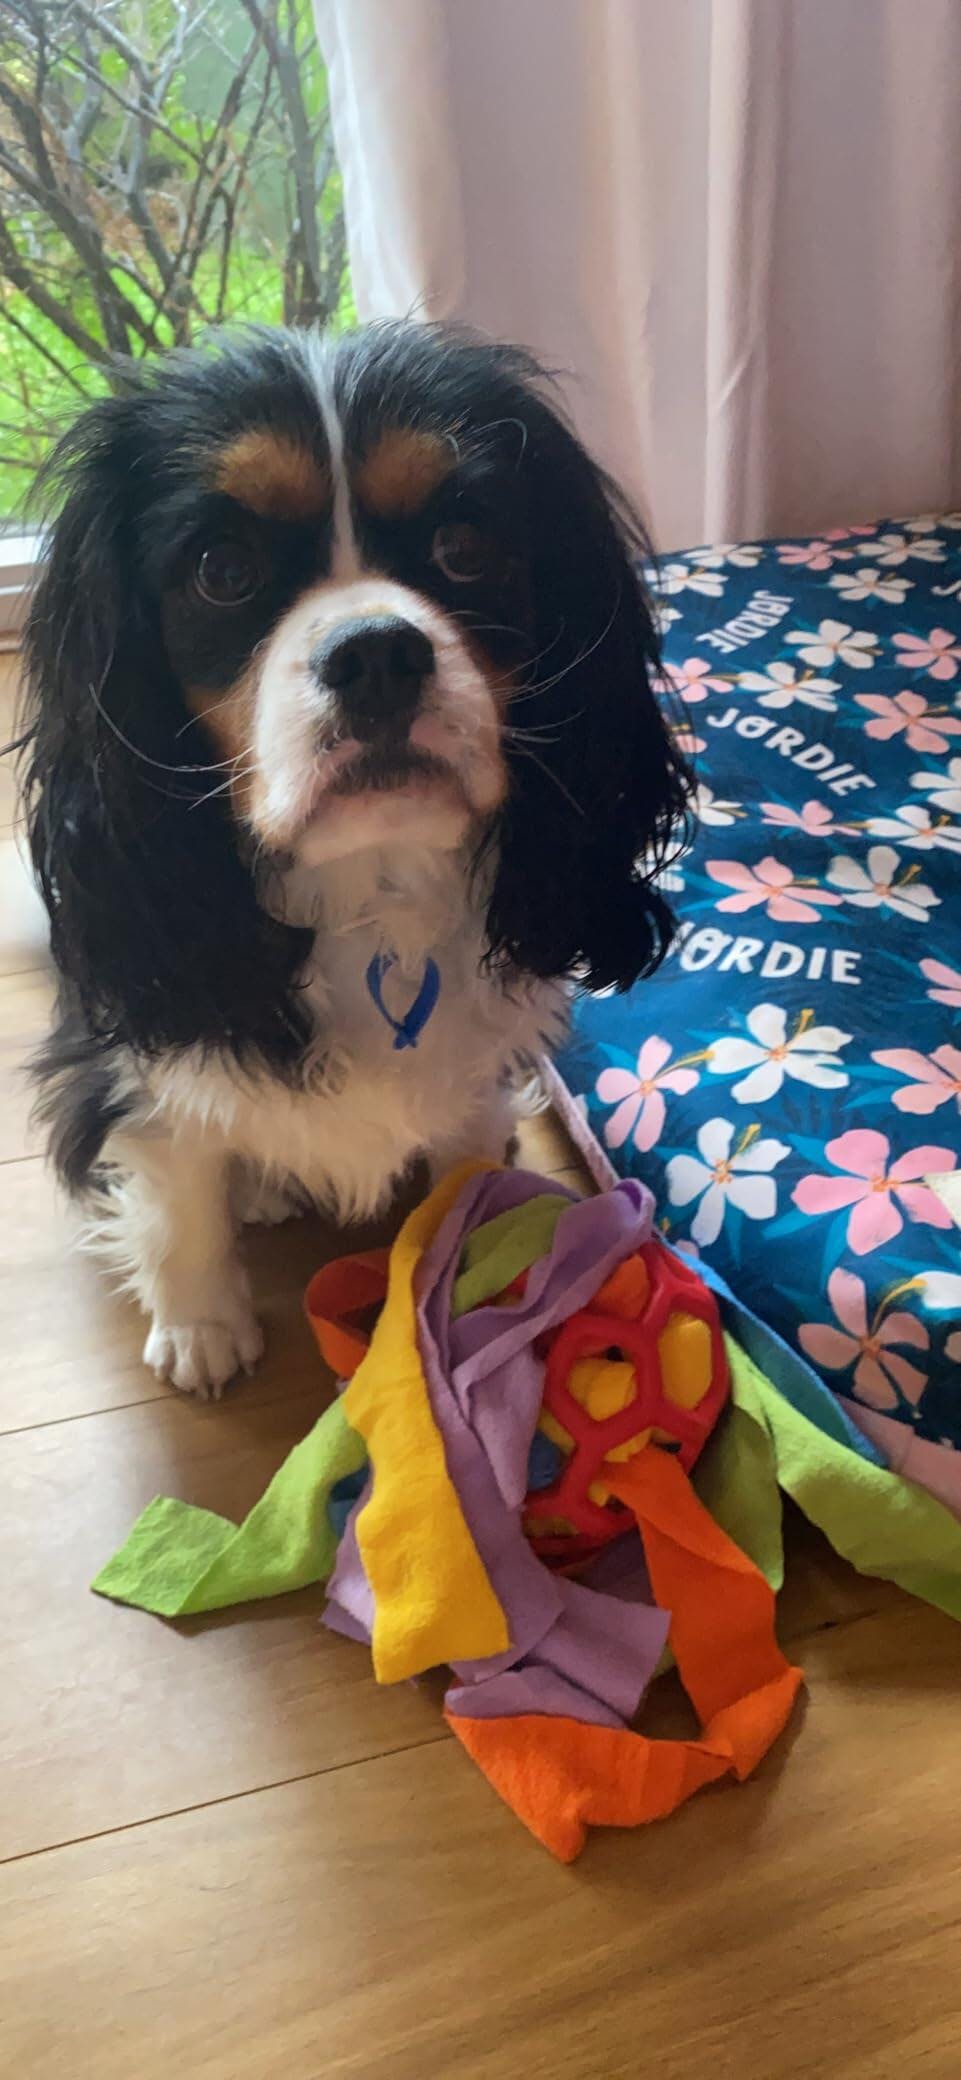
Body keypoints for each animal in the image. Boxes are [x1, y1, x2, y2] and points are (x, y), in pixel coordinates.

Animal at [19, 321, 689, 1396]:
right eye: (221, 570)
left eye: (466, 549)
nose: (376, 652)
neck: (367, 883)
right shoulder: (134, 1051)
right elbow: (176, 1187)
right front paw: (202, 1325)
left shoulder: (472, 1063)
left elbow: (459, 1172)